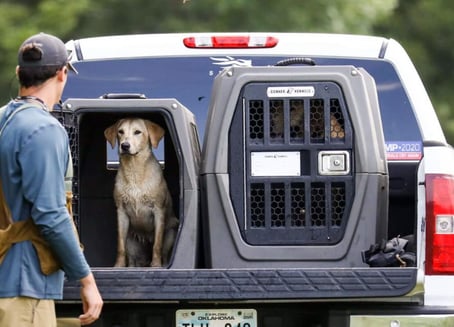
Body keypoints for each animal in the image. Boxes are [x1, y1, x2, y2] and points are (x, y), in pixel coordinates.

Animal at [104, 119, 179, 268]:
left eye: (137, 132)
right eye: (120, 132)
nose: (125, 146)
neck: (134, 170)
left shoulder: (158, 211)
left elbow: (157, 245)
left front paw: (156, 265)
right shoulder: (121, 213)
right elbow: (120, 246)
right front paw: (118, 266)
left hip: (171, 234)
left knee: (164, 254)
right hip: (131, 242)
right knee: (133, 261)